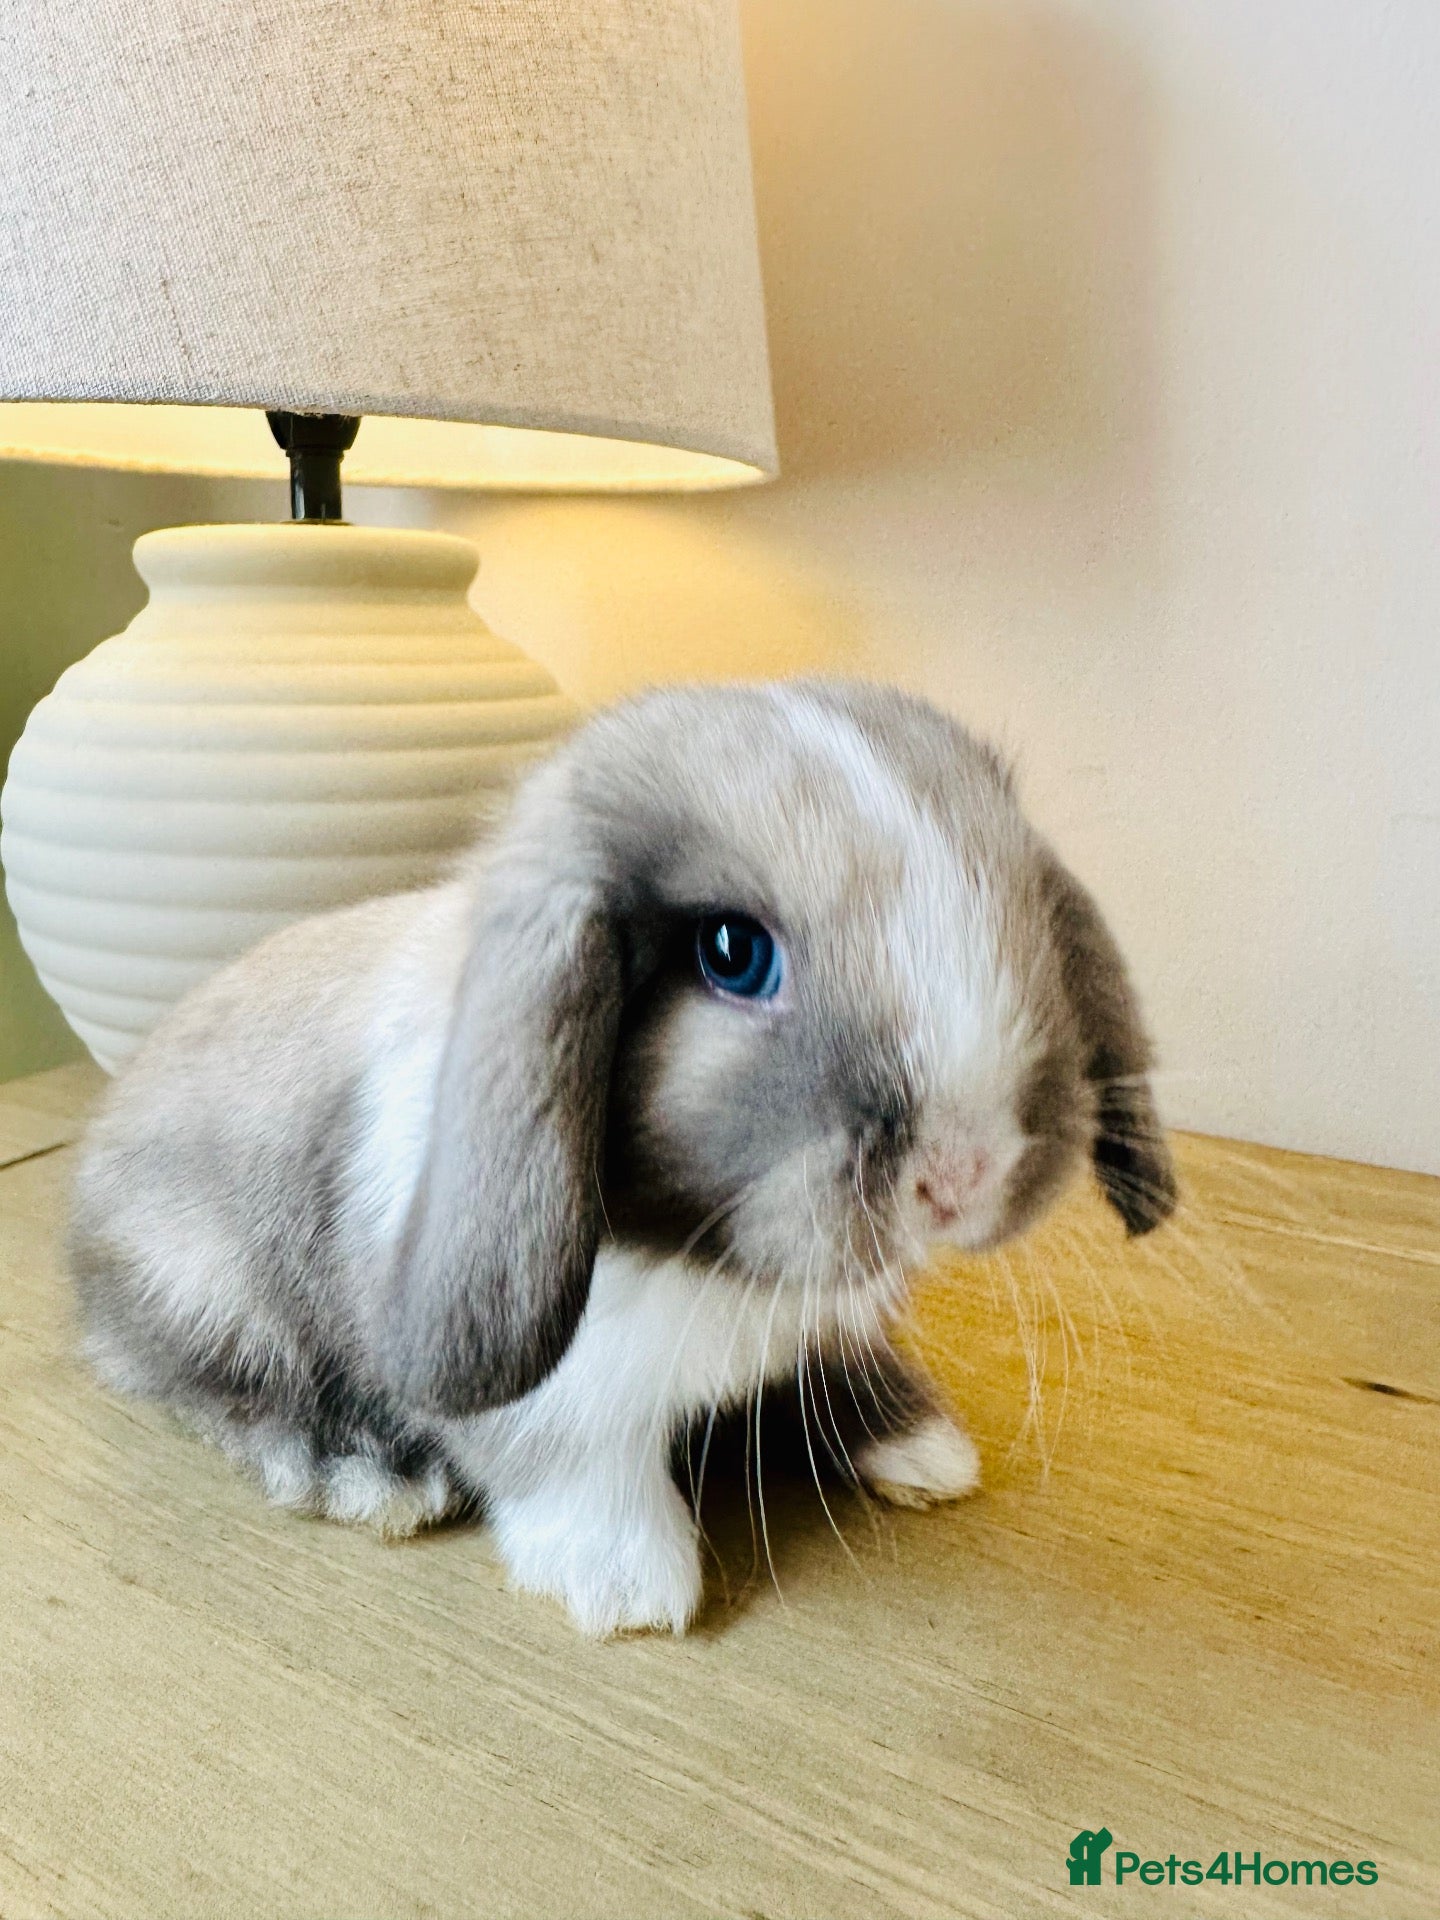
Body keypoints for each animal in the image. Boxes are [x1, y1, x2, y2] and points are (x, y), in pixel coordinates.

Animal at [70, 679, 1176, 1637]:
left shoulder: (825, 1321)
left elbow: (840, 1362)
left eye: (1021, 909)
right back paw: (366, 1475)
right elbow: (578, 1468)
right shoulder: (556, 1395)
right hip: (205, 1290)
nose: (963, 1174)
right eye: (732, 953)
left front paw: (923, 1449)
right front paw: (626, 1587)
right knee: (218, 1392)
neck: (709, 1260)